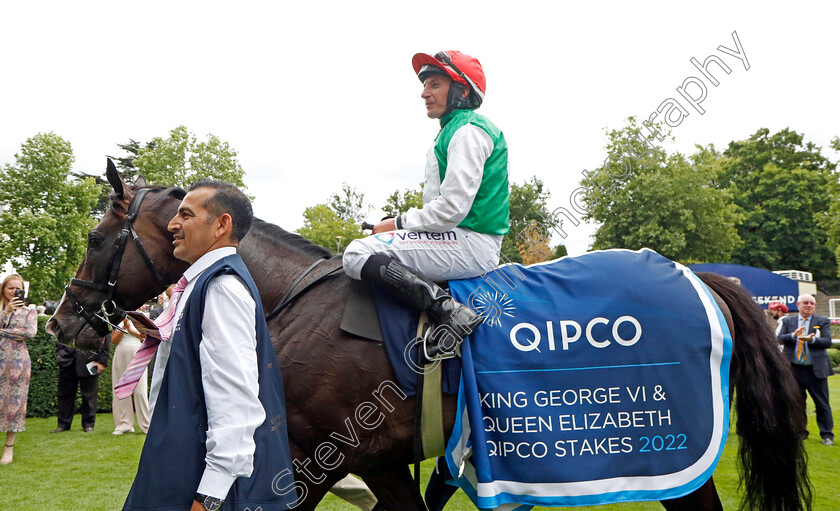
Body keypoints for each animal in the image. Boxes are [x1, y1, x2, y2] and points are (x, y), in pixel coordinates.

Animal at [47, 166, 812, 510]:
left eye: (95, 240)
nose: (61, 323)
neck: (294, 297)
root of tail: (699, 275)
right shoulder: (379, 462)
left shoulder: (325, 456)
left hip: (669, 449)